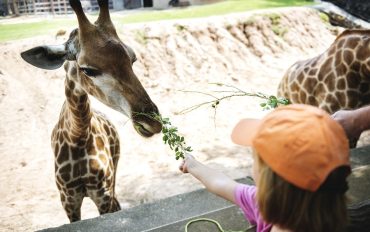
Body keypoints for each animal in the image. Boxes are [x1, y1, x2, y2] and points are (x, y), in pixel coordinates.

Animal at [18, 0, 161, 222]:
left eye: (133, 59)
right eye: (88, 69)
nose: (153, 122)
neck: (78, 136)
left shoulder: (102, 194)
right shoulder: (68, 200)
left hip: (114, 174)